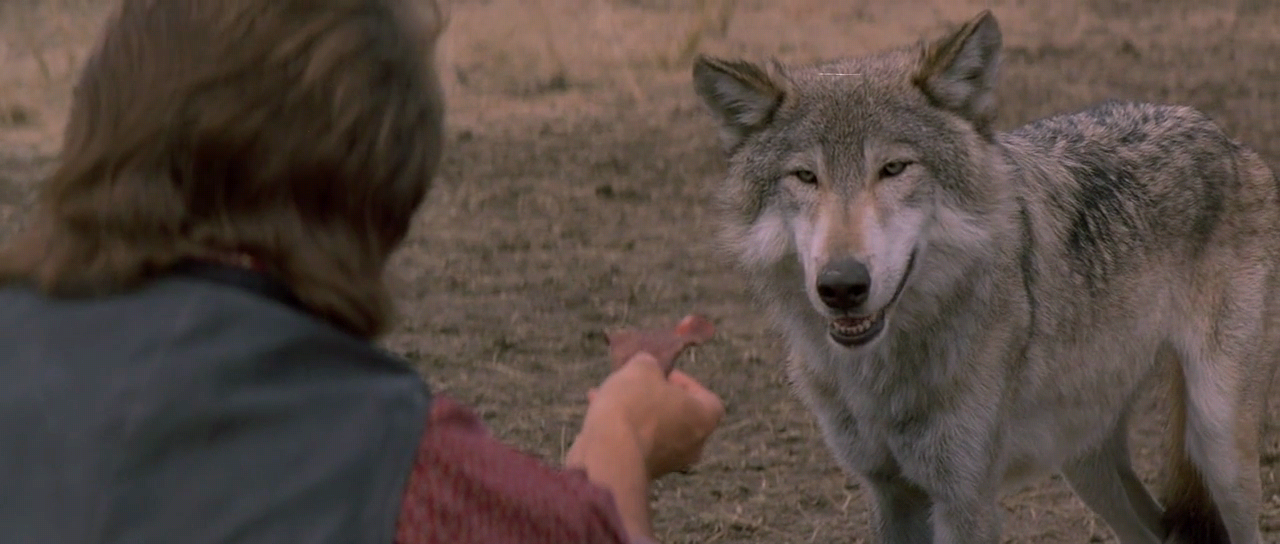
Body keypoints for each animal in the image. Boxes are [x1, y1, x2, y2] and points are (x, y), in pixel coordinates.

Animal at [692, 10, 1278, 544]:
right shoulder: (890, 494)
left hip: (1218, 444)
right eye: (805, 176)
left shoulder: (966, 501)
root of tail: (1222, 136)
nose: (841, 286)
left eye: (894, 168)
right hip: (1085, 460)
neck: (885, 375)